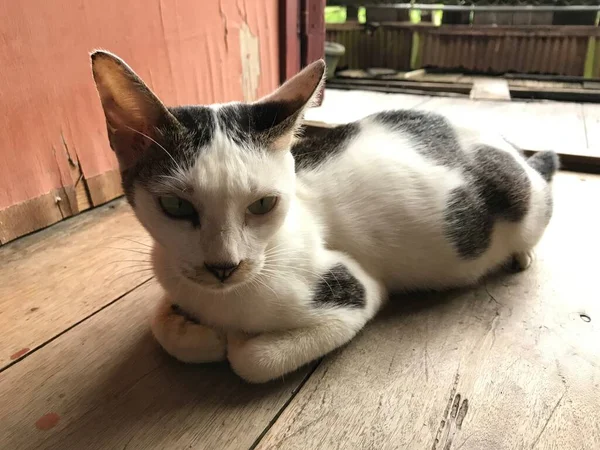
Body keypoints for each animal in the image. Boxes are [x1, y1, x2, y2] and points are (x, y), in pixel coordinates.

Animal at [91, 51, 560, 382]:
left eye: (263, 204)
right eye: (176, 207)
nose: (224, 266)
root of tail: (512, 149)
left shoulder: (356, 292)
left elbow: (251, 359)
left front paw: (231, 339)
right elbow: (160, 321)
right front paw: (199, 334)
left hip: (528, 202)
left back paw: (522, 255)